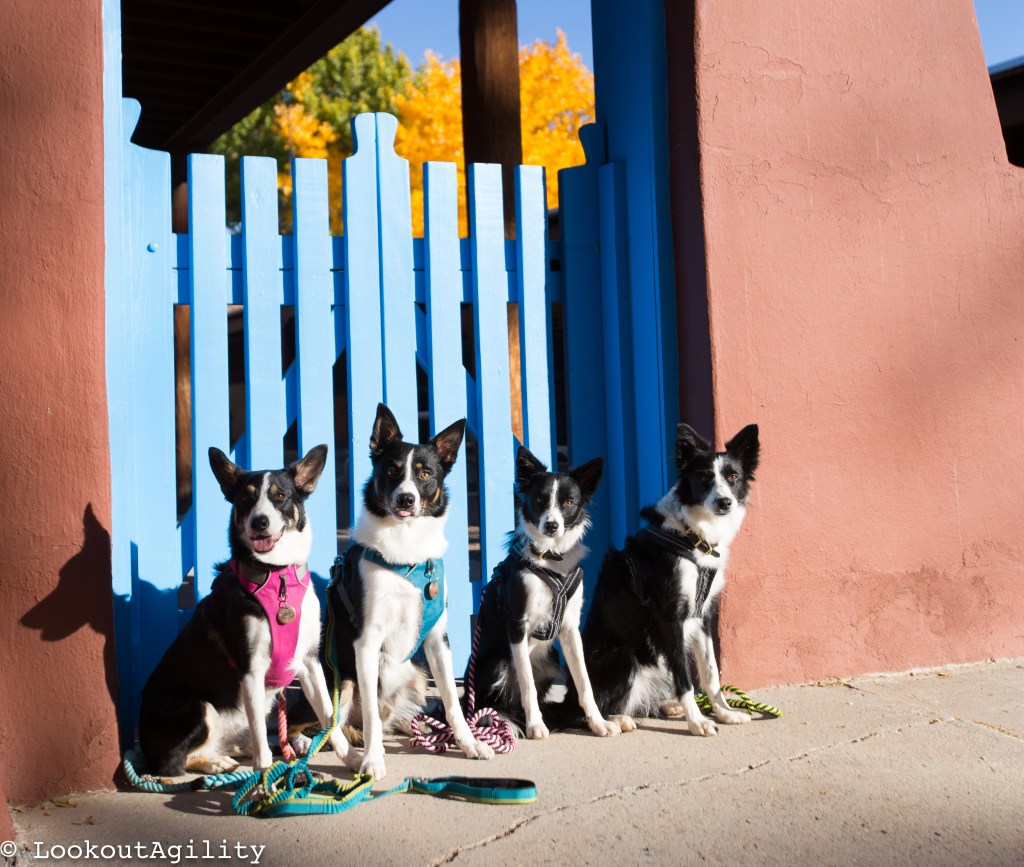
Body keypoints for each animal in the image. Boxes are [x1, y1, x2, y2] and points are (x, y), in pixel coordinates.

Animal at [139, 445, 349, 776]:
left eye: (280, 495)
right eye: (244, 499)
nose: (259, 522)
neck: (276, 577)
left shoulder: (309, 661)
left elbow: (330, 716)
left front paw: (357, 760)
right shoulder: (252, 670)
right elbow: (262, 743)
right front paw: (264, 781)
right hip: (197, 706)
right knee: (173, 763)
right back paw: (218, 763)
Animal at [325, 403, 494, 780]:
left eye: (425, 474)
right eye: (391, 470)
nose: (405, 499)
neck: (405, 554)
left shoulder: (437, 640)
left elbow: (452, 702)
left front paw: (469, 743)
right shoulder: (366, 641)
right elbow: (370, 715)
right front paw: (373, 760)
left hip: (416, 675)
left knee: (389, 717)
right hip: (342, 680)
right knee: (330, 727)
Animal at [469, 446, 623, 739]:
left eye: (568, 503)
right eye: (540, 499)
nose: (551, 526)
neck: (550, 558)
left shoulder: (571, 628)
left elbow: (584, 682)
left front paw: (598, 722)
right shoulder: (517, 626)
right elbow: (527, 683)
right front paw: (535, 725)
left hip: (551, 662)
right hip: (495, 664)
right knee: (487, 704)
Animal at [562, 423, 760, 736]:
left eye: (733, 477)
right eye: (704, 478)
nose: (725, 502)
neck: (692, 536)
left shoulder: (702, 615)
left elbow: (711, 673)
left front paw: (724, 713)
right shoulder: (670, 617)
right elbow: (685, 679)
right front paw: (697, 722)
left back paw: (666, 707)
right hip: (625, 657)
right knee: (581, 710)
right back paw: (616, 720)